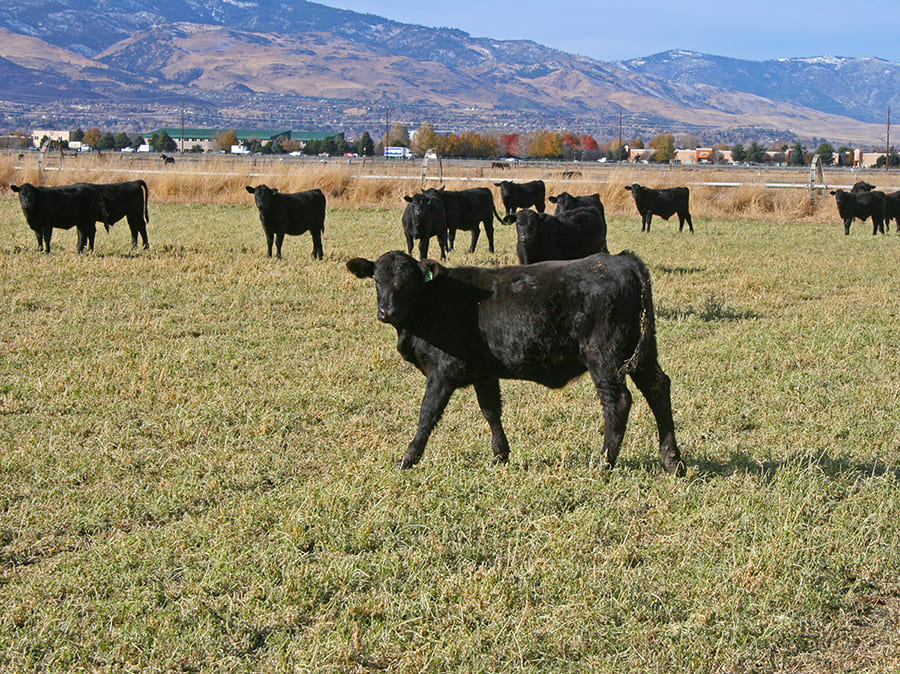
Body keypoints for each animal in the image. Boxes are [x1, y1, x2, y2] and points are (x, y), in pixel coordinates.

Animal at [344, 247, 684, 472]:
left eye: (409, 282)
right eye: (377, 280)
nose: (387, 311)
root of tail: (621, 259)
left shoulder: (443, 371)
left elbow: (427, 414)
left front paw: (408, 457)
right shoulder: (483, 372)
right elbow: (491, 410)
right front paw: (500, 455)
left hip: (604, 357)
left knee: (618, 401)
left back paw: (604, 463)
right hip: (641, 353)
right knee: (658, 388)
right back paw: (672, 460)